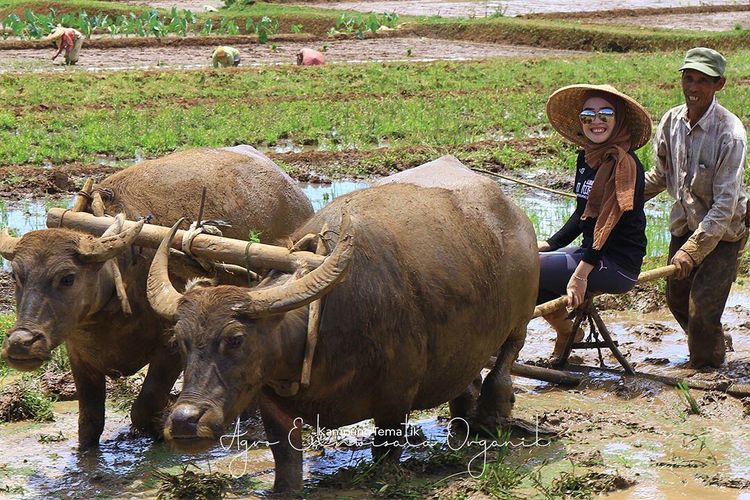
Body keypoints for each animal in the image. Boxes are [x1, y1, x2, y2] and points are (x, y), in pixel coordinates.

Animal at [0, 145, 314, 450]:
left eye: (67, 277)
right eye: (16, 276)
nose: (21, 343)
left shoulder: (170, 349)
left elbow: (143, 407)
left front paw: (161, 431)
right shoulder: (80, 358)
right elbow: (89, 423)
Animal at [147, 157, 536, 492]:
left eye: (236, 339)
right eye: (180, 341)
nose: (183, 420)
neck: (319, 332)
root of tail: (512, 212)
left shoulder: (395, 401)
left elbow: (385, 452)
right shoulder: (273, 405)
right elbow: (285, 461)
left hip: (521, 318)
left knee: (504, 364)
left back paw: (493, 418)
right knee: (466, 378)